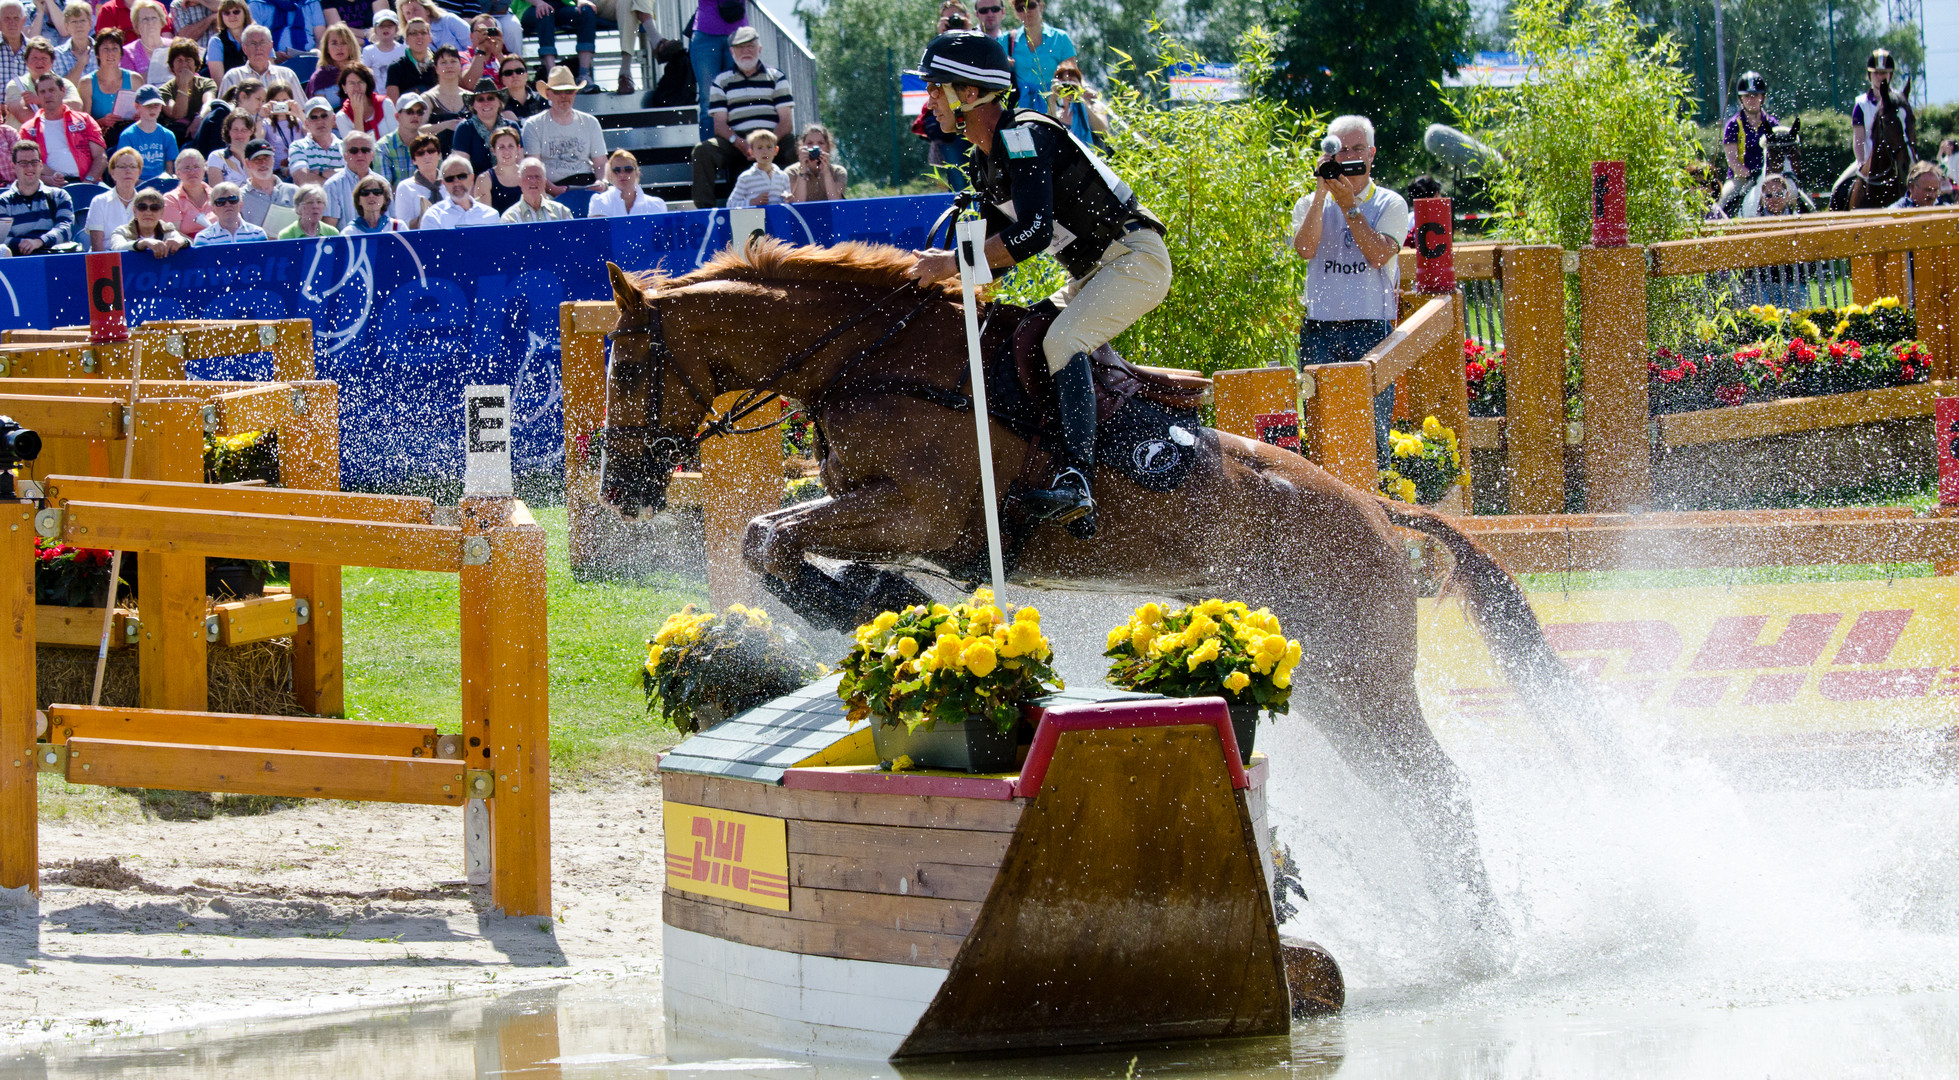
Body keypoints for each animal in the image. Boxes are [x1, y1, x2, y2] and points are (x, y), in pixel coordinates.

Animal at [603, 243, 1582, 948]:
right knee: (1415, 794)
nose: (620, 489)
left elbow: (766, 535)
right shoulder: (872, 504)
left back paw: (1484, 940)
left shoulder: (918, 508)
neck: (866, 361)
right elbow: (765, 534)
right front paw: (864, 599)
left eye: (629, 369)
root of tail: (1379, 511)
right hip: (1334, 683)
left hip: (1362, 672)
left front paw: (855, 599)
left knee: (1437, 788)